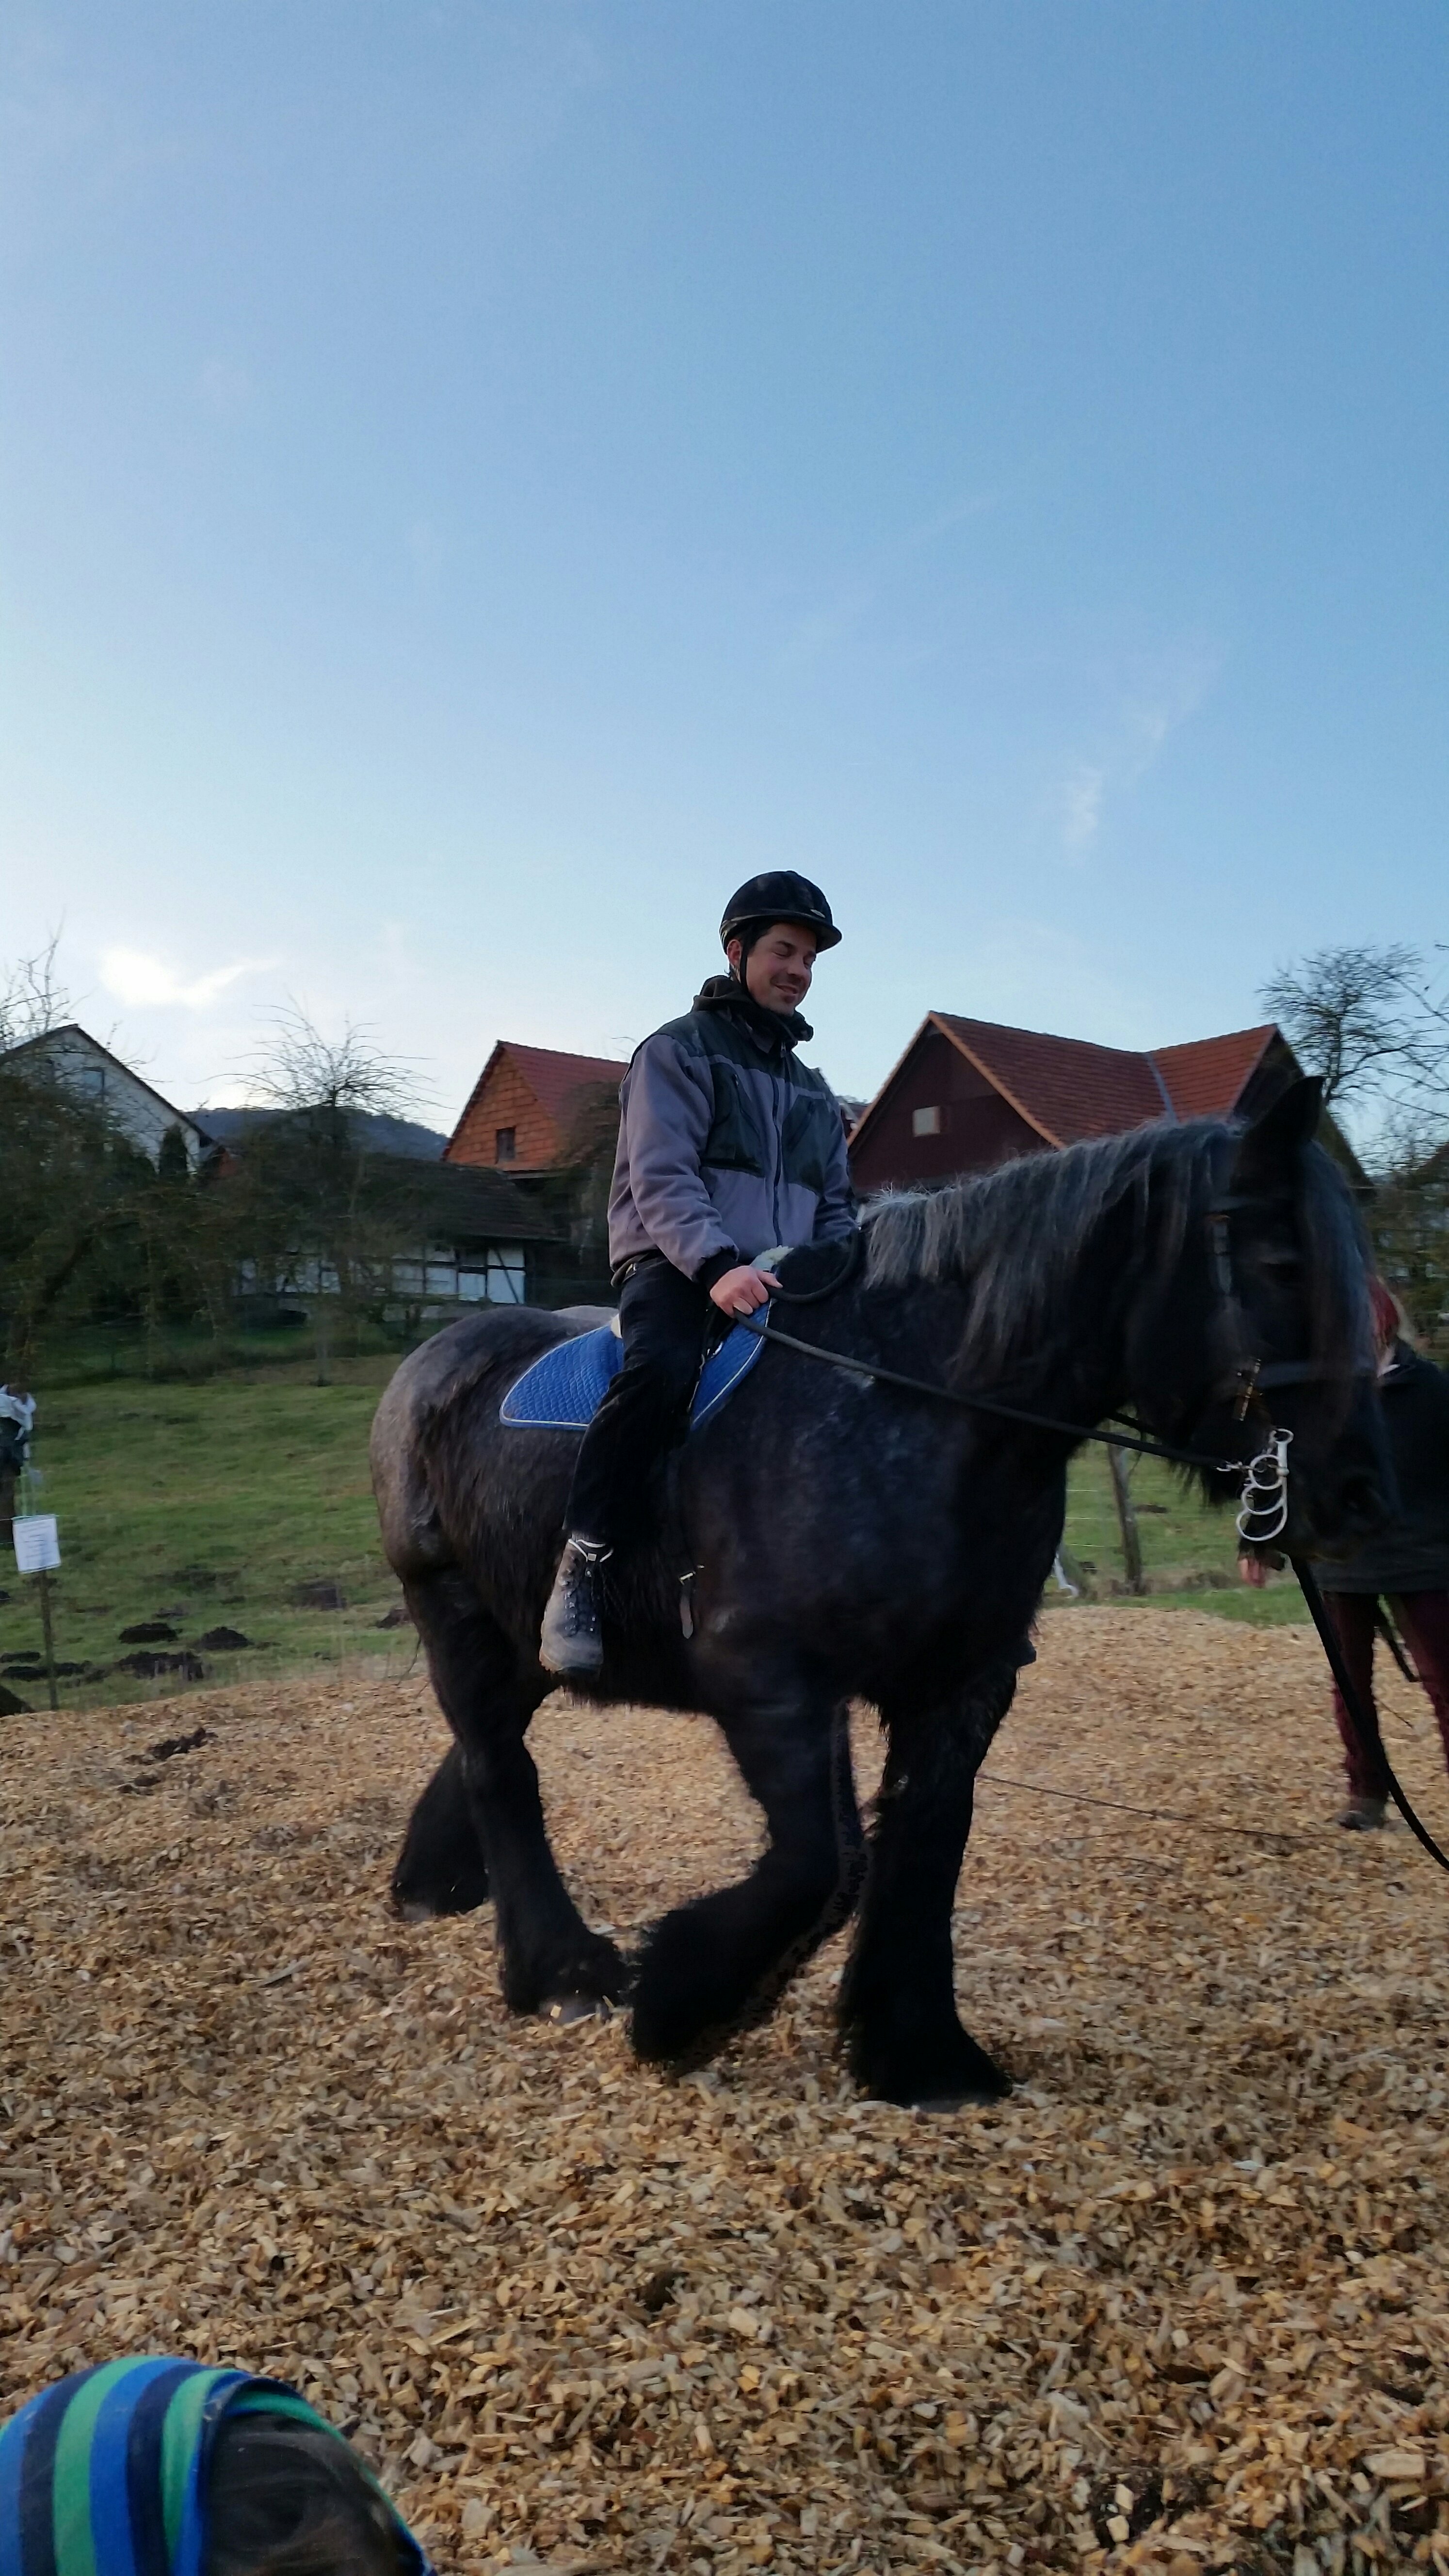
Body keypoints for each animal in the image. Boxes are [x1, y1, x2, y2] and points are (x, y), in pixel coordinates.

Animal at [370, 1078, 1387, 2107]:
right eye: (1279, 1261)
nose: (1354, 1493)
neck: (912, 1401)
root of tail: (433, 1359)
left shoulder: (963, 1683)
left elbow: (923, 1848)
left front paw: (920, 2054)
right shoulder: (771, 1682)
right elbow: (823, 1867)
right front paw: (679, 2007)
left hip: (520, 1632)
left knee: (489, 1744)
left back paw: (436, 1885)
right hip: (452, 1610)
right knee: (501, 1768)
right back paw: (560, 1972)